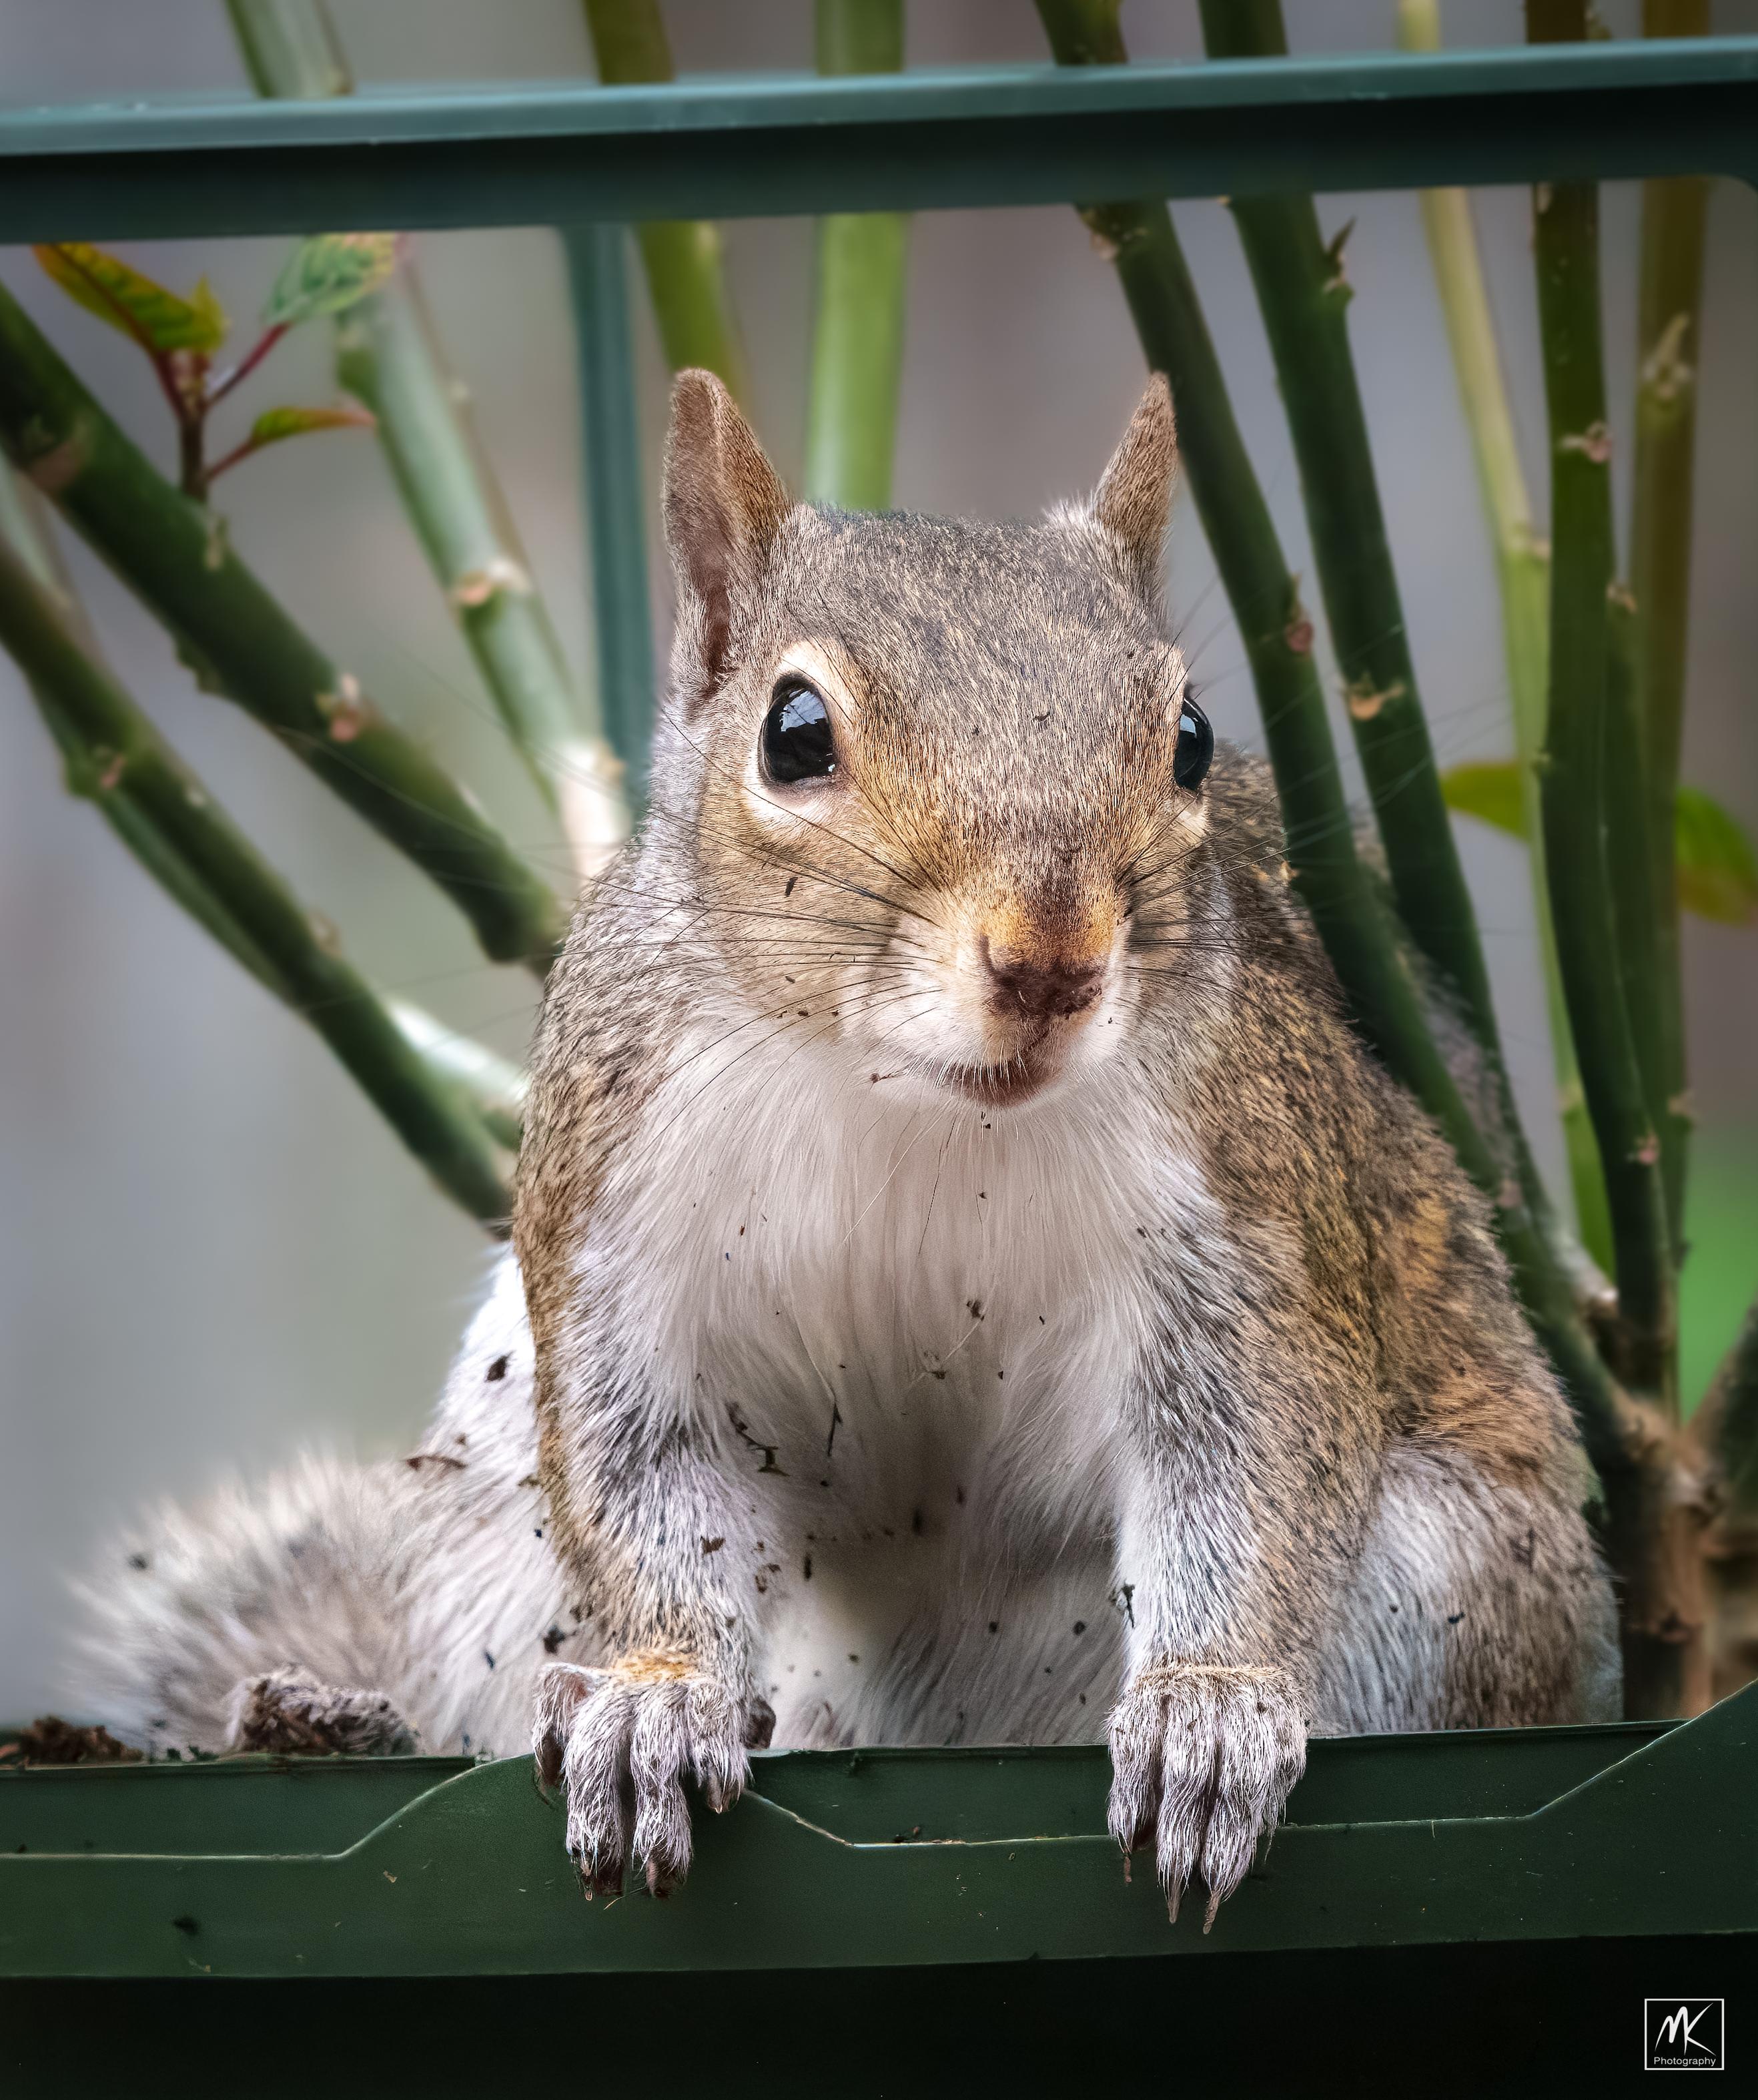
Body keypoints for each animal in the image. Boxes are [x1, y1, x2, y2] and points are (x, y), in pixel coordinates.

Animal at [68, 372, 1618, 1926]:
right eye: (793, 731)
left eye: (1187, 736)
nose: (1050, 958)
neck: (917, 1103)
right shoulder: (619, 1238)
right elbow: (648, 1482)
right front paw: (654, 1697)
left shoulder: (1250, 1230)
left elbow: (1252, 1468)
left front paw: (1212, 1706)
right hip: (488, 1543)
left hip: (1453, 1581)